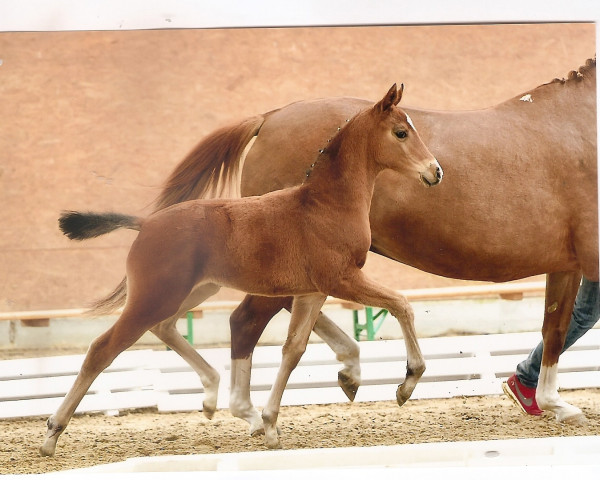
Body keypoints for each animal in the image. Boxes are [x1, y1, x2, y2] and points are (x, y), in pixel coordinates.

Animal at [42, 84, 442, 456]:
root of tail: (147, 224)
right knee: (103, 348)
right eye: (401, 133)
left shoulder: (312, 291)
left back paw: (213, 394)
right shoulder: (342, 279)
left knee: (164, 327)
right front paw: (407, 382)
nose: (435, 171)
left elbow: (293, 349)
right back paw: (51, 433)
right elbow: (401, 304)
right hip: (156, 295)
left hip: (194, 291)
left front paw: (270, 423)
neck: (325, 205)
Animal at [149, 58, 596, 430]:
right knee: (248, 319)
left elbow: (557, 326)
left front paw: (547, 401)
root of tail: (270, 117)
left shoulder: (567, 263)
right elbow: (563, 327)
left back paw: (344, 370)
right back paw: (256, 407)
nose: (436, 172)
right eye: (400, 132)